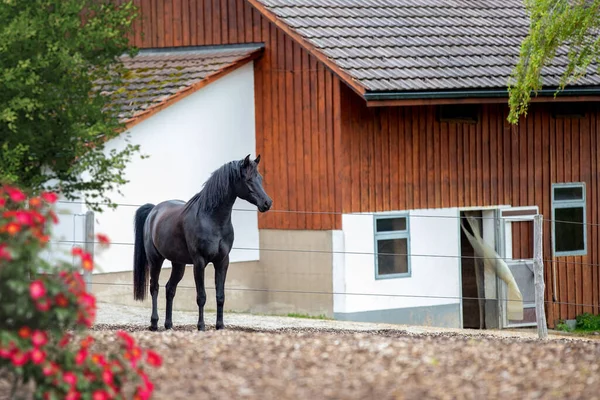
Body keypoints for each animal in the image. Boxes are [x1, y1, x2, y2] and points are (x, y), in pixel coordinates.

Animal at [133, 155, 272, 330]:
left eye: (259, 178)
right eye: (248, 179)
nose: (267, 203)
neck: (212, 220)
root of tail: (153, 211)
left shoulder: (222, 261)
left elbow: (220, 296)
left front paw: (220, 326)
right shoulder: (199, 262)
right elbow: (202, 296)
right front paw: (201, 326)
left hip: (178, 264)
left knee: (170, 289)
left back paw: (169, 324)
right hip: (155, 260)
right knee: (154, 287)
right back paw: (154, 323)